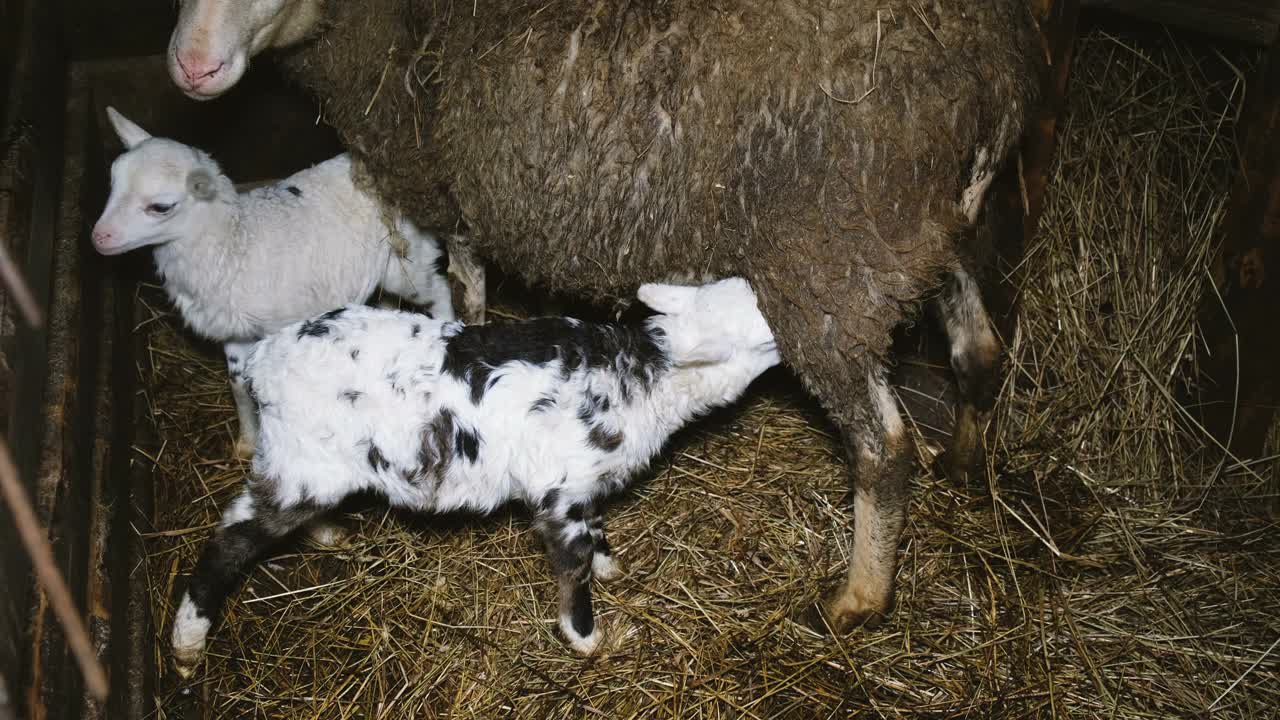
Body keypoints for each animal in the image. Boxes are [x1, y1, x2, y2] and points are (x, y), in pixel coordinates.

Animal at [91, 106, 460, 453]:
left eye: (161, 206)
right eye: (112, 182)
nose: (99, 237)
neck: (234, 243)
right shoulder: (235, 332)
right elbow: (239, 385)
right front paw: (246, 442)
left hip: (407, 260)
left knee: (438, 290)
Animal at [167, 0, 1039, 627]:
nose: (192, 65)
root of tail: (988, 75)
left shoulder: (448, 186)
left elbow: (468, 286)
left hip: (829, 260)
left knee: (883, 447)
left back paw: (857, 600)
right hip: (925, 232)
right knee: (979, 351)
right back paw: (965, 464)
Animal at [170, 274, 778, 671]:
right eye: (768, 333)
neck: (647, 374)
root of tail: (262, 362)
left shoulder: (584, 485)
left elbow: (598, 531)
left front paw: (611, 566)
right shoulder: (560, 492)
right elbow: (574, 564)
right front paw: (586, 637)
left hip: (313, 464)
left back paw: (326, 534)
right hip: (299, 464)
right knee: (230, 538)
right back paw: (187, 638)